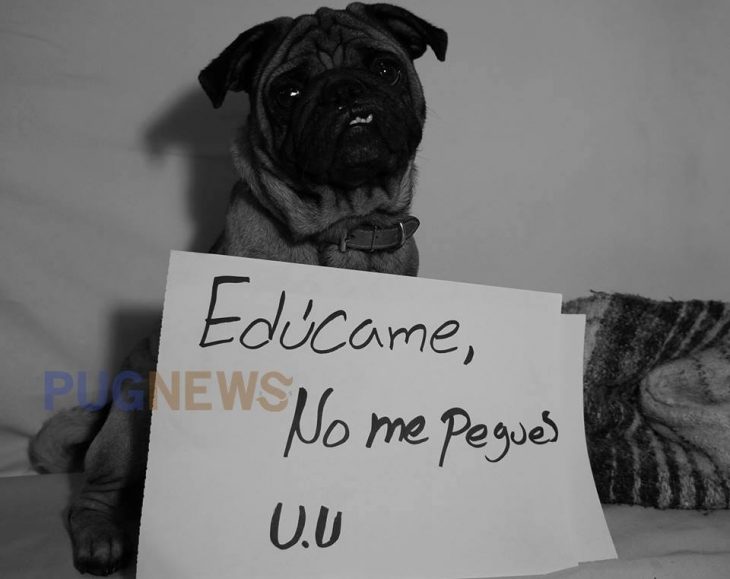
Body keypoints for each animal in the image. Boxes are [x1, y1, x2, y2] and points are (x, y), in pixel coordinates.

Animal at [29, 3, 444, 576]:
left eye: (385, 68)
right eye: (289, 91)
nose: (344, 90)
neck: (343, 227)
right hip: (129, 422)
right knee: (93, 496)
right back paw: (103, 539)